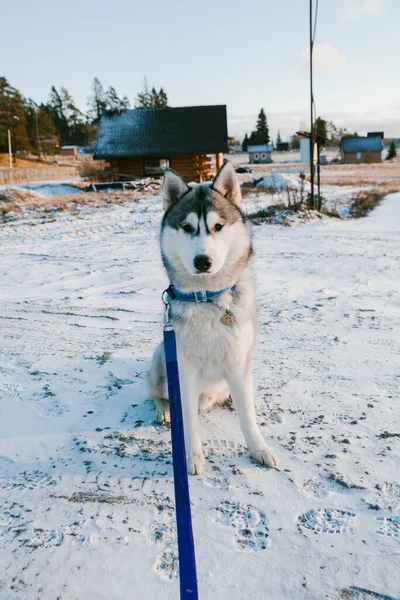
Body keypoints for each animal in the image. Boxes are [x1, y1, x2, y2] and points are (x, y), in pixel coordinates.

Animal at [148, 161, 278, 474]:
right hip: (161, 358)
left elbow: (247, 419)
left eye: (218, 226)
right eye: (187, 228)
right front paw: (191, 457)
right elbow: (188, 423)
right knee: (158, 394)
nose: (202, 261)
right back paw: (162, 410)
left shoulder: (238, 361)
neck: (207, 299)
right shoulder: (185, 369)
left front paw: (259, 449)